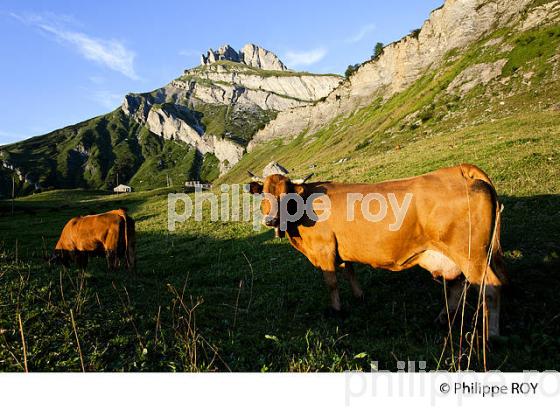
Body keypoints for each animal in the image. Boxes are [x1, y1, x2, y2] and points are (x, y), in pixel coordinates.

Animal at [247, 165, 506, 338]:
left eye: (286, 194)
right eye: (264, 194)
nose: (271, 220)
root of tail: (459, 171)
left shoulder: (324, 250)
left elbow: (331, 282)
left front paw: (337, 311)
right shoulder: (342, 249)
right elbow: (349, 270)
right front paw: (359, 296)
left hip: (472, 255)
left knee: (491, 289)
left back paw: (491, 335)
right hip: (457, 255)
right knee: (457, 285)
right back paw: (443, 320)